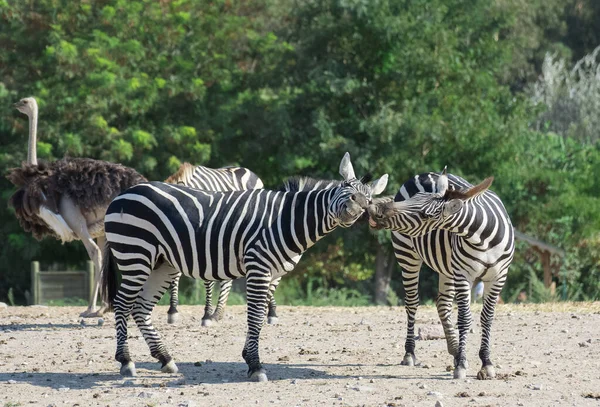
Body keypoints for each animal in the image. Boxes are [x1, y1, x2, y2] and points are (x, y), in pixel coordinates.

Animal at [368, 169, 512, 380]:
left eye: (423, 215)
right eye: (414, 198)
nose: (373, 210)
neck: (482, 239)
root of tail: (425, 173)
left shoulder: (498, 277)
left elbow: (487, 317)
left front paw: (485, 363)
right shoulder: (463, 275)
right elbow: (464, 318)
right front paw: (461, 365)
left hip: (446, 267)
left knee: (443, 304)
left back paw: (455, 350)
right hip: (407, 255)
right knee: (412, 303)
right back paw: (410, 353)